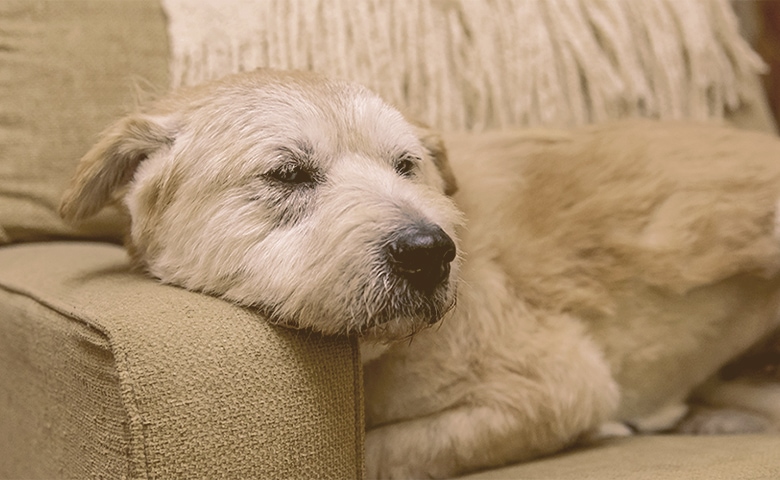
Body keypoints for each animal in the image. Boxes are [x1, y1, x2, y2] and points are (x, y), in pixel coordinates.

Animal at [59, 69, 780, 478]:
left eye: (406, 166)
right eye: (287, 173)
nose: (431, 251)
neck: (372, 358)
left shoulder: (560, 384)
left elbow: (382, 454)